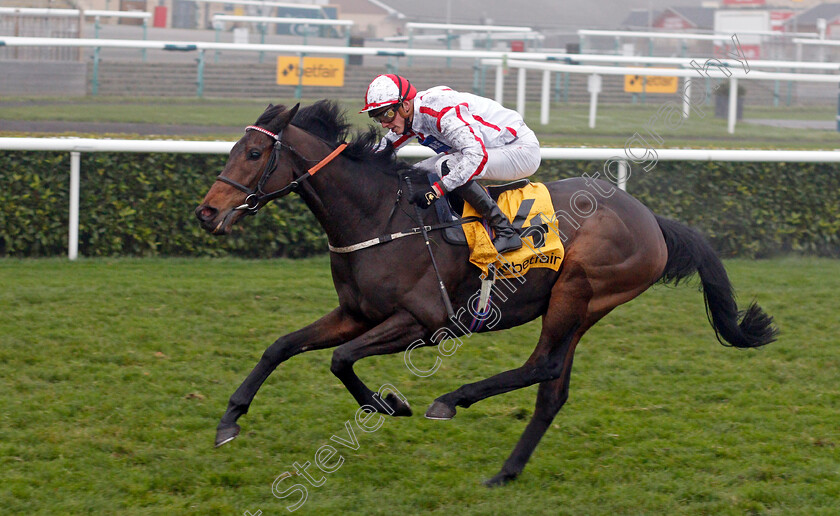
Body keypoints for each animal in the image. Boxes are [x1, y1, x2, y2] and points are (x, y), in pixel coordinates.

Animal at [194, 102, 776, 488]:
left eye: (253, 153)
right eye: (232, 149)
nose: (206, 212)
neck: (379, 217)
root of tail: (651, 219)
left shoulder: (422, 321)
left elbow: (340, 359)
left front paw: (390, 404)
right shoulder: (355, 312)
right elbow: (282, 346)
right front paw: (228, 421)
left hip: (579, 290)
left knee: (541, 365)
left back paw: (451, 401)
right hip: (584, 308)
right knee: (552, 388)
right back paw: (506, 472)